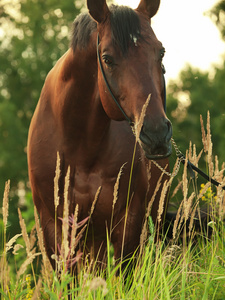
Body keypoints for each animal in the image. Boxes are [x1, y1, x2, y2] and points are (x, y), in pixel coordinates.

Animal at [28, 0, 172, 272]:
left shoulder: (128, 223)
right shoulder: (53, 226)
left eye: (161, 52)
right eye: (107, 58)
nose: (156, 133)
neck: (81, 146)